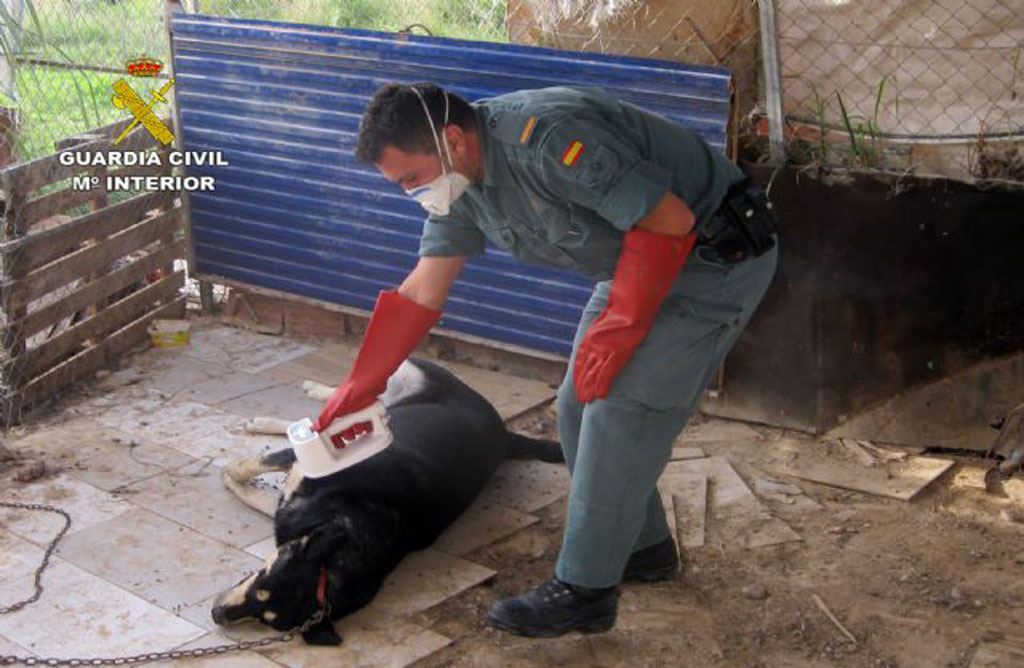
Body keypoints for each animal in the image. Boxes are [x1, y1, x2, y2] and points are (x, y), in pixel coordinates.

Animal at [208, 356, 561, 643]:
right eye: (260, 580)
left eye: (264, 617)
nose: (216, 615)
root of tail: (505, 435)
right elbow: (253, 466)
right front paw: (232, 470)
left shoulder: (292, 506)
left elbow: (249, 484)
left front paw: (229, 475)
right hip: (401, 377)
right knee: (339, 403)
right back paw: (314, 395)